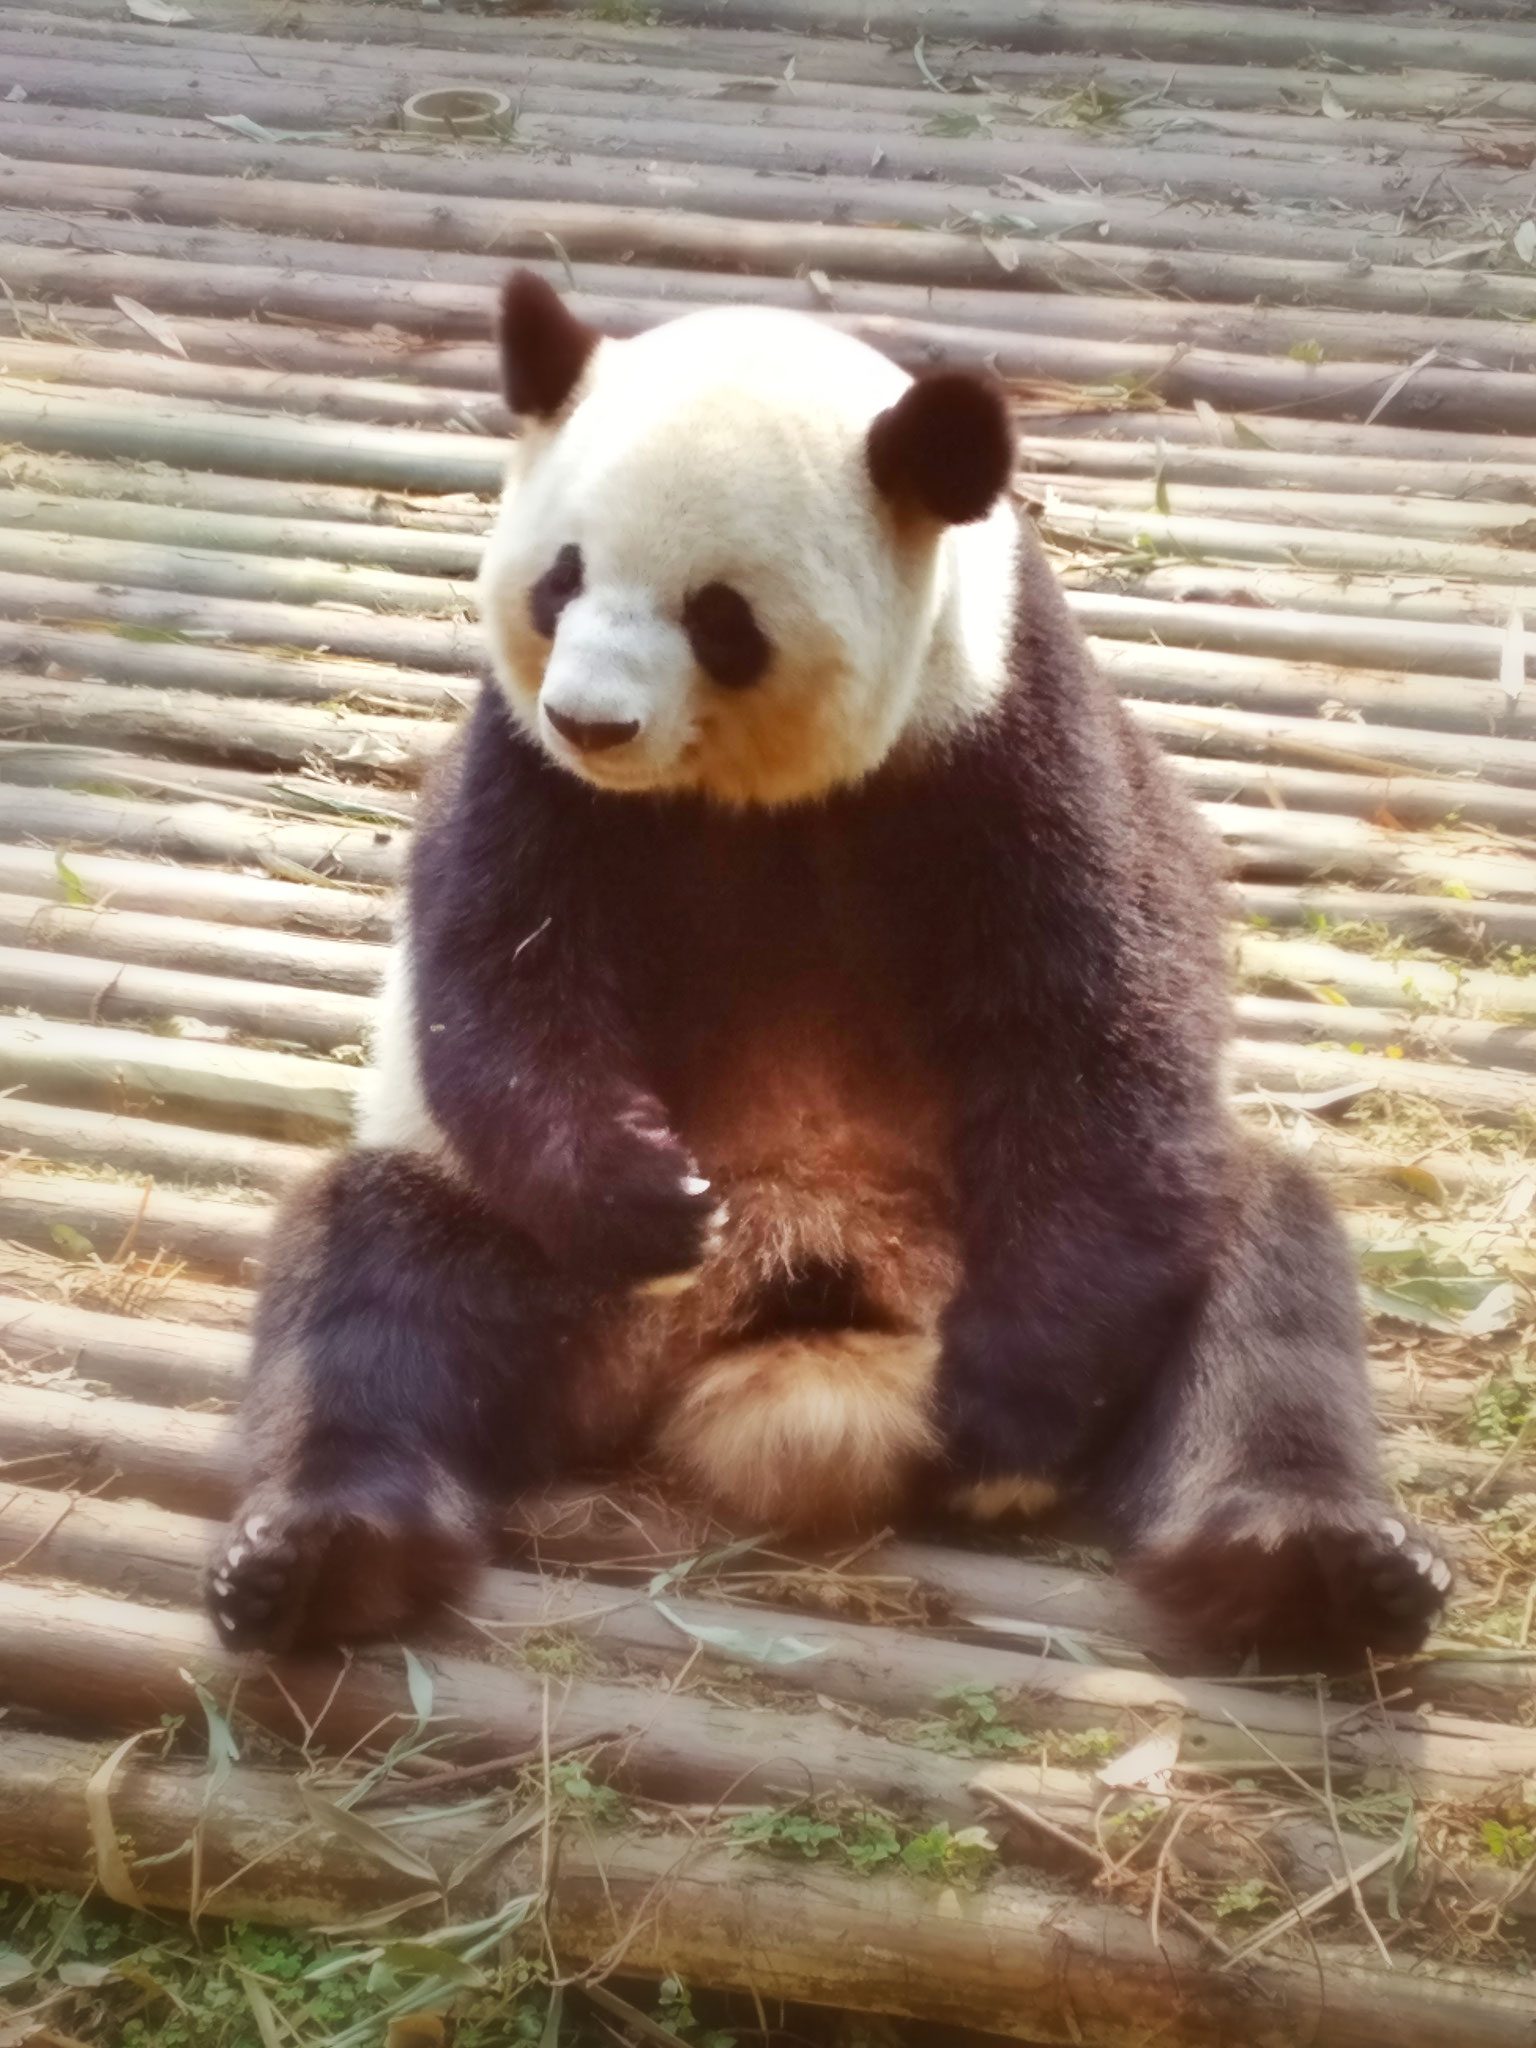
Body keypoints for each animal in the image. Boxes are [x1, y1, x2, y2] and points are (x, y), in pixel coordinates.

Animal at [207, 272, 1458, 1671]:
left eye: (717, 616)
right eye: (559, 582)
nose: (594, 719)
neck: (750, 790)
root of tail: (787, 1315)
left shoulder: (1004, 740)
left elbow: (1097, 1028)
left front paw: (1006, 1427)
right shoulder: (530, 772)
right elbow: (501, 978)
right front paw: (647, 1192)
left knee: (1257, 1285)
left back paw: (1308, 1561)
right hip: (535, 1275)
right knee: (373, 1279)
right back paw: (322, 1554)